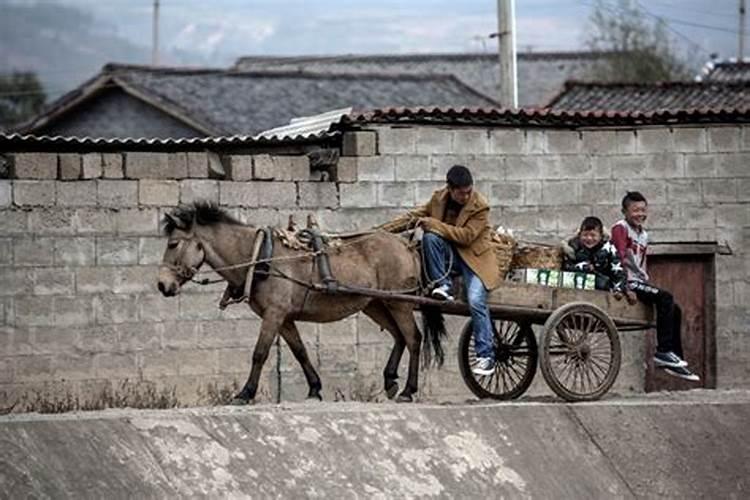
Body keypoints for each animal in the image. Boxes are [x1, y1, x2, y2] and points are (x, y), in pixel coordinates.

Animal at [155, 201, 444, 404]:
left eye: (173, 243)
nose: (162, 285)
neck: (260, 256)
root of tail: (406, 245)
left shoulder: (274, 313)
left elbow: (259, 353)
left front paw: (245, 393)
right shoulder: (284, 318)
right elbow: (300, 351)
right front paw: (314, 388)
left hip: (399, 303)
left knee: (413, 338)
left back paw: (408, 390)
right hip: (376, 303)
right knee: (399, 336)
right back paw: (391, 380)